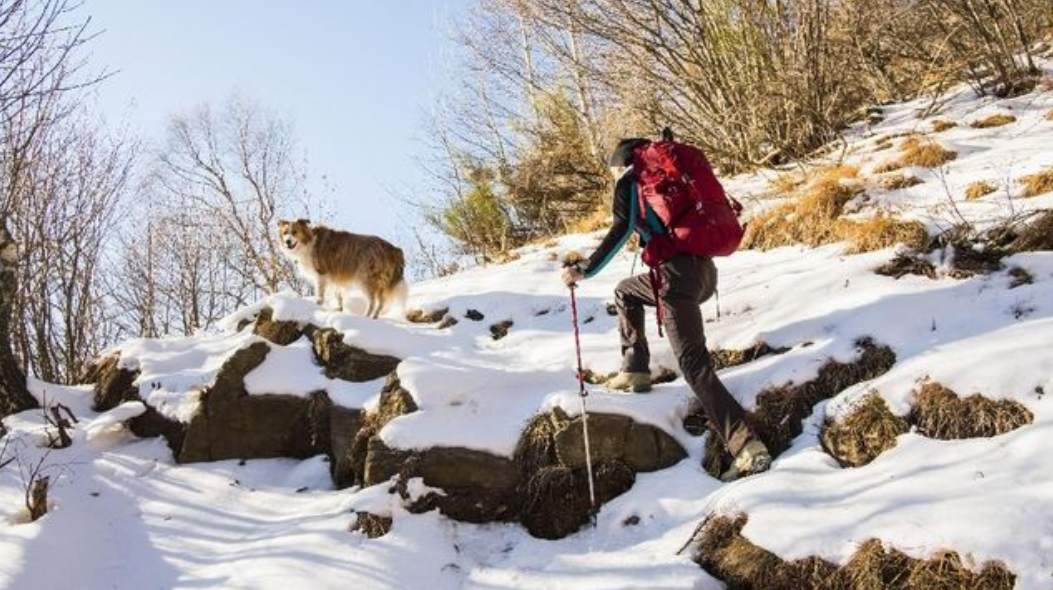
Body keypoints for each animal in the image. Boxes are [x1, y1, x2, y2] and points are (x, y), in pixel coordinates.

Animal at [277, 219, 408, 318]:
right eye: (285, 232)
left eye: (294, 232)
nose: (287, 242)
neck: (308, 242)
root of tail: (393, 248)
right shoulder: (333, 278)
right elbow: (338, 296)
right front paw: (339, 309)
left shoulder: (321, 274)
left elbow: (320, 294)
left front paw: (317, 306)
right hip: (379, 283)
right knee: (381, 302)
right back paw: (374, 317)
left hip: (365, 279)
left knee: (372, 301)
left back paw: (365, 316)